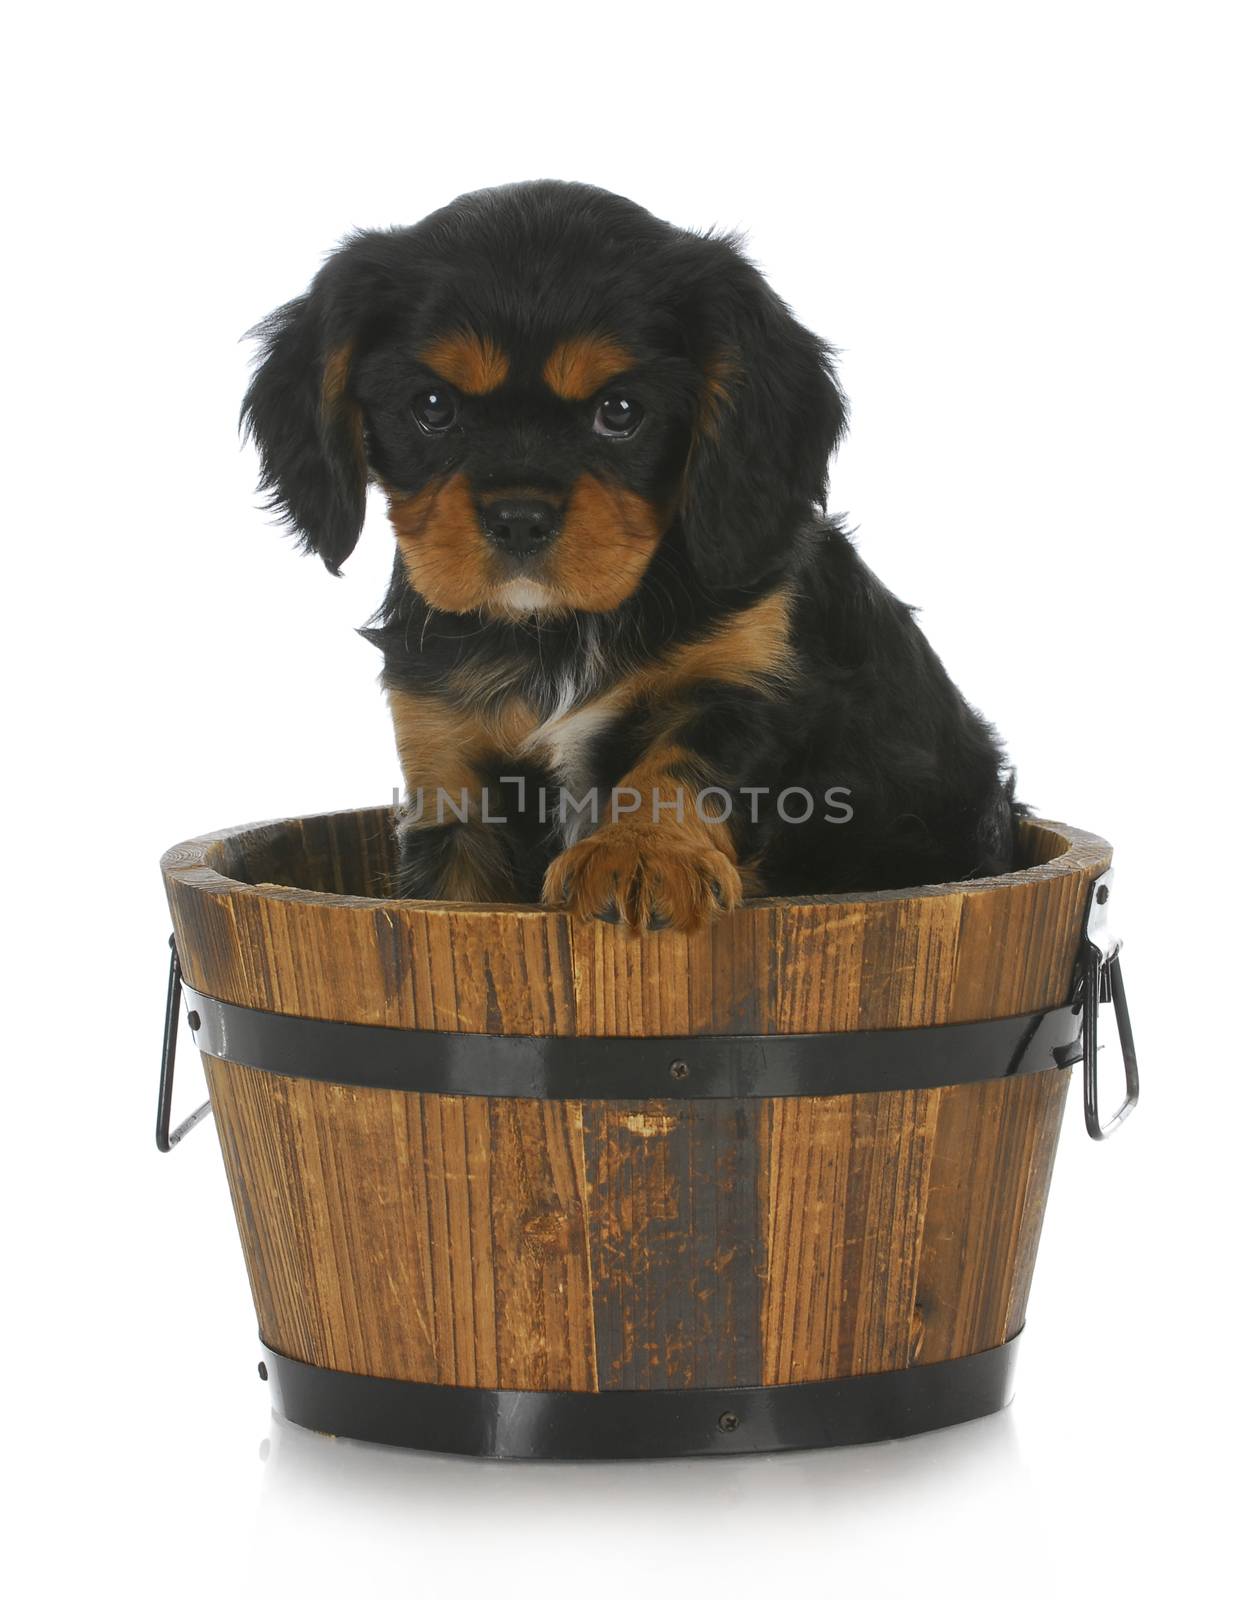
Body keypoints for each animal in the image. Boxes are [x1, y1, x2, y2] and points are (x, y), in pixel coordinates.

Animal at [243, 181, 1017, 934]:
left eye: (620, 412)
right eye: (432, 407)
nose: (519, 517)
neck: (557, 629)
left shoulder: (751, 673)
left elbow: (681, 767)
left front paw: (638, 855)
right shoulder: (447, 764)